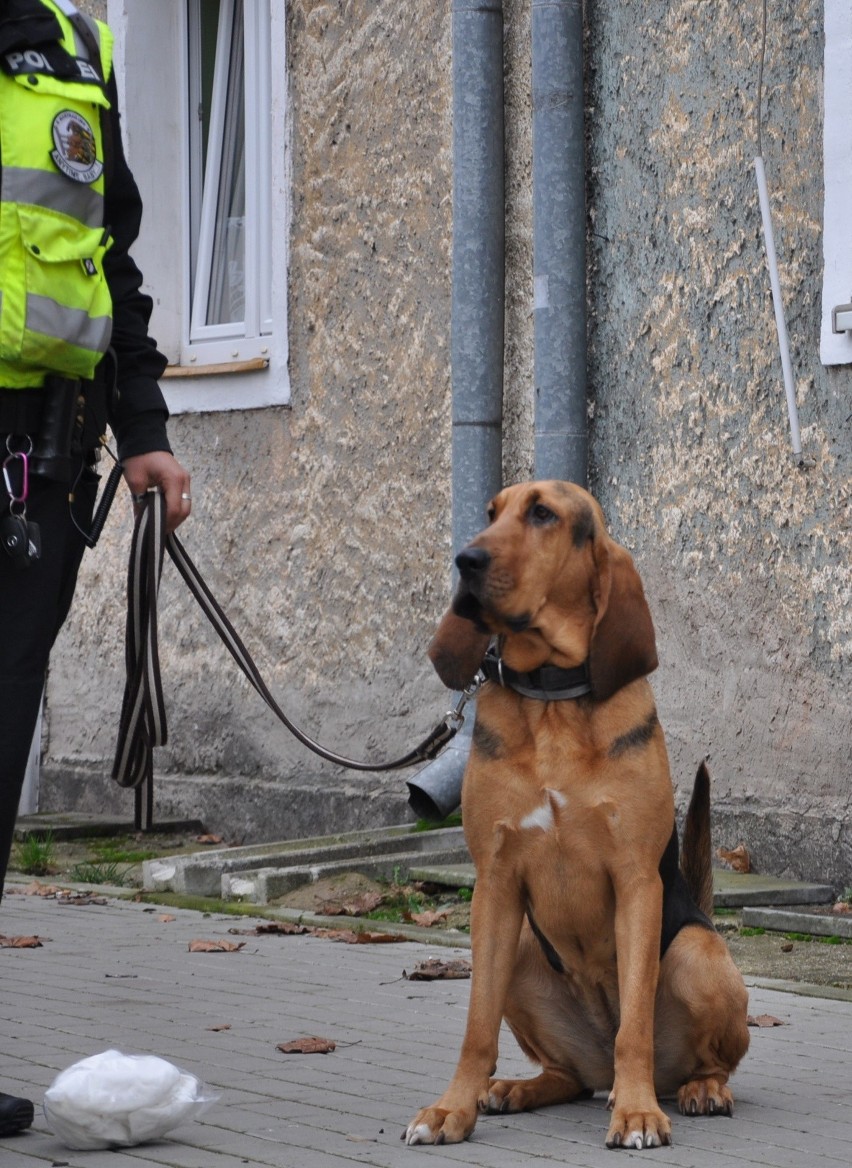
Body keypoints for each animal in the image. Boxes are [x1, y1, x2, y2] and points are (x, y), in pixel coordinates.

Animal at [404, 481, 743, 1149]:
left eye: (543, 514)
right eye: (490, 513)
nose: (467, 560)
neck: (551, 697)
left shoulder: (637, 883)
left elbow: (633, 1027)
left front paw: (636, 1114)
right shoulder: (495, 886)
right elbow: (476, 1027)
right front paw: (452, 1108)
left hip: (697, 953)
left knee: (699, 1059)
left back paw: (697, 1089)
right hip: (521, 952)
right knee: (569, 1074)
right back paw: (519, 1088)